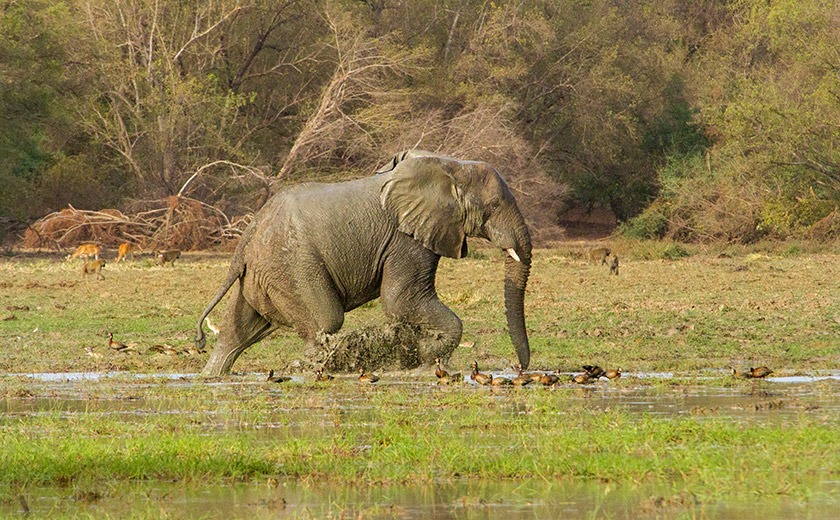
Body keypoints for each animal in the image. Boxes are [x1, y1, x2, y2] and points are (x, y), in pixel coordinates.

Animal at [195, 150, 532, 376]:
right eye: (494, 206)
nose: (520, 367)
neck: (450, 166)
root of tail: (249, 234)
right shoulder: (404, 238)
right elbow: (400, 301)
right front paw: (423, 358)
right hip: (291, 266)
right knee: (326, 321)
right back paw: (313, 370)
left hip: (262, 272)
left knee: (235, 332)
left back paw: (212, 375)